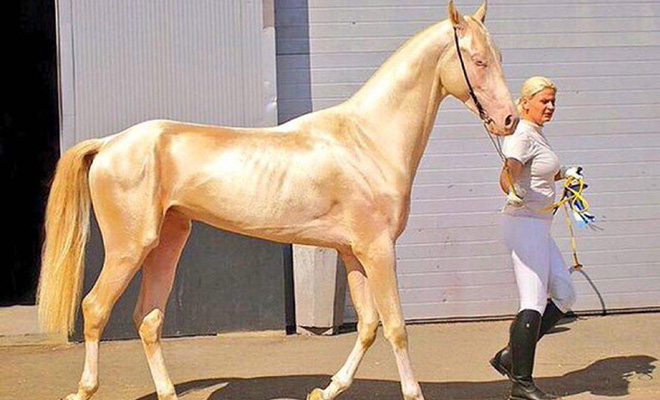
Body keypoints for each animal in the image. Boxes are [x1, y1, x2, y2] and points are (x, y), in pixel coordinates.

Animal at [38, 1, 520, 398]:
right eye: (478, 60)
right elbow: (396, 327)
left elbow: (367, 326)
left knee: (148, 319)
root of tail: (109, 144)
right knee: (95, 308)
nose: (509, 120)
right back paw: (84, 389)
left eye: (499, 56)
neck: (368, 141)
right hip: (129, 247)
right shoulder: (378, 250)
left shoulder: (352, 253)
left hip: (168, 241)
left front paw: (326, 390)